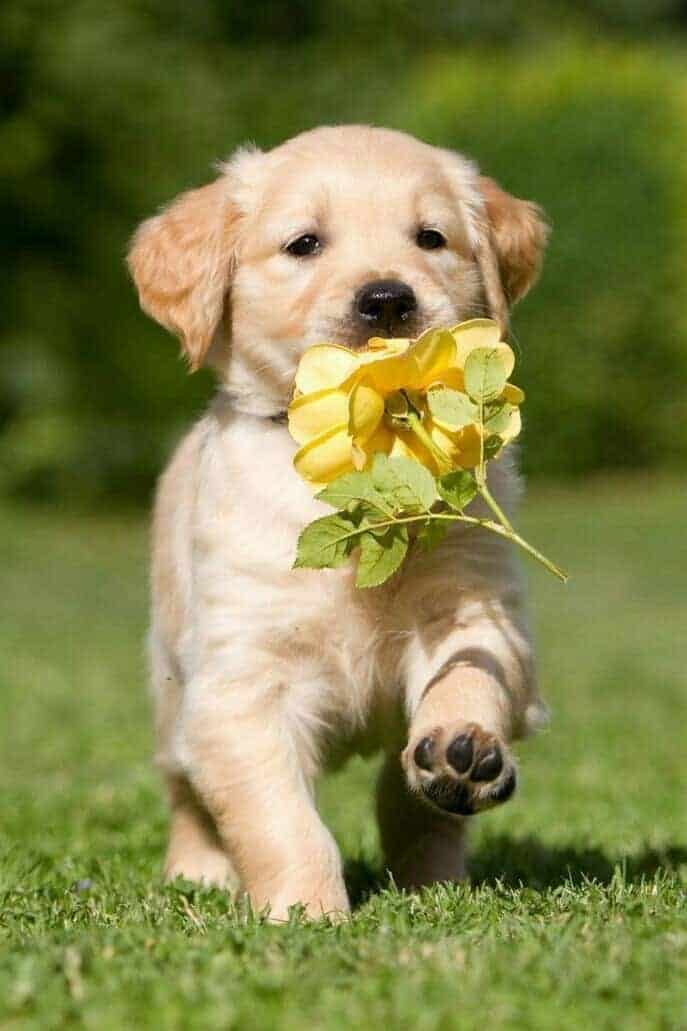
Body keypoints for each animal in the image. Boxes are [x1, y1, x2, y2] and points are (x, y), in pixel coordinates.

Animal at [126, 124, 544, 923]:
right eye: (304, 243)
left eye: (430, 237)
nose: (386, 299)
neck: (366, 455)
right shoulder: (238, 684)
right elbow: (279, 818)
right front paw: (308, 913)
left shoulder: (473, 605)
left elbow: (470, 672)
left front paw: (463, 743)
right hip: (169, 692)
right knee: (188, 798)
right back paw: (197, 874)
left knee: (407, 804)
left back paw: (441, 853)